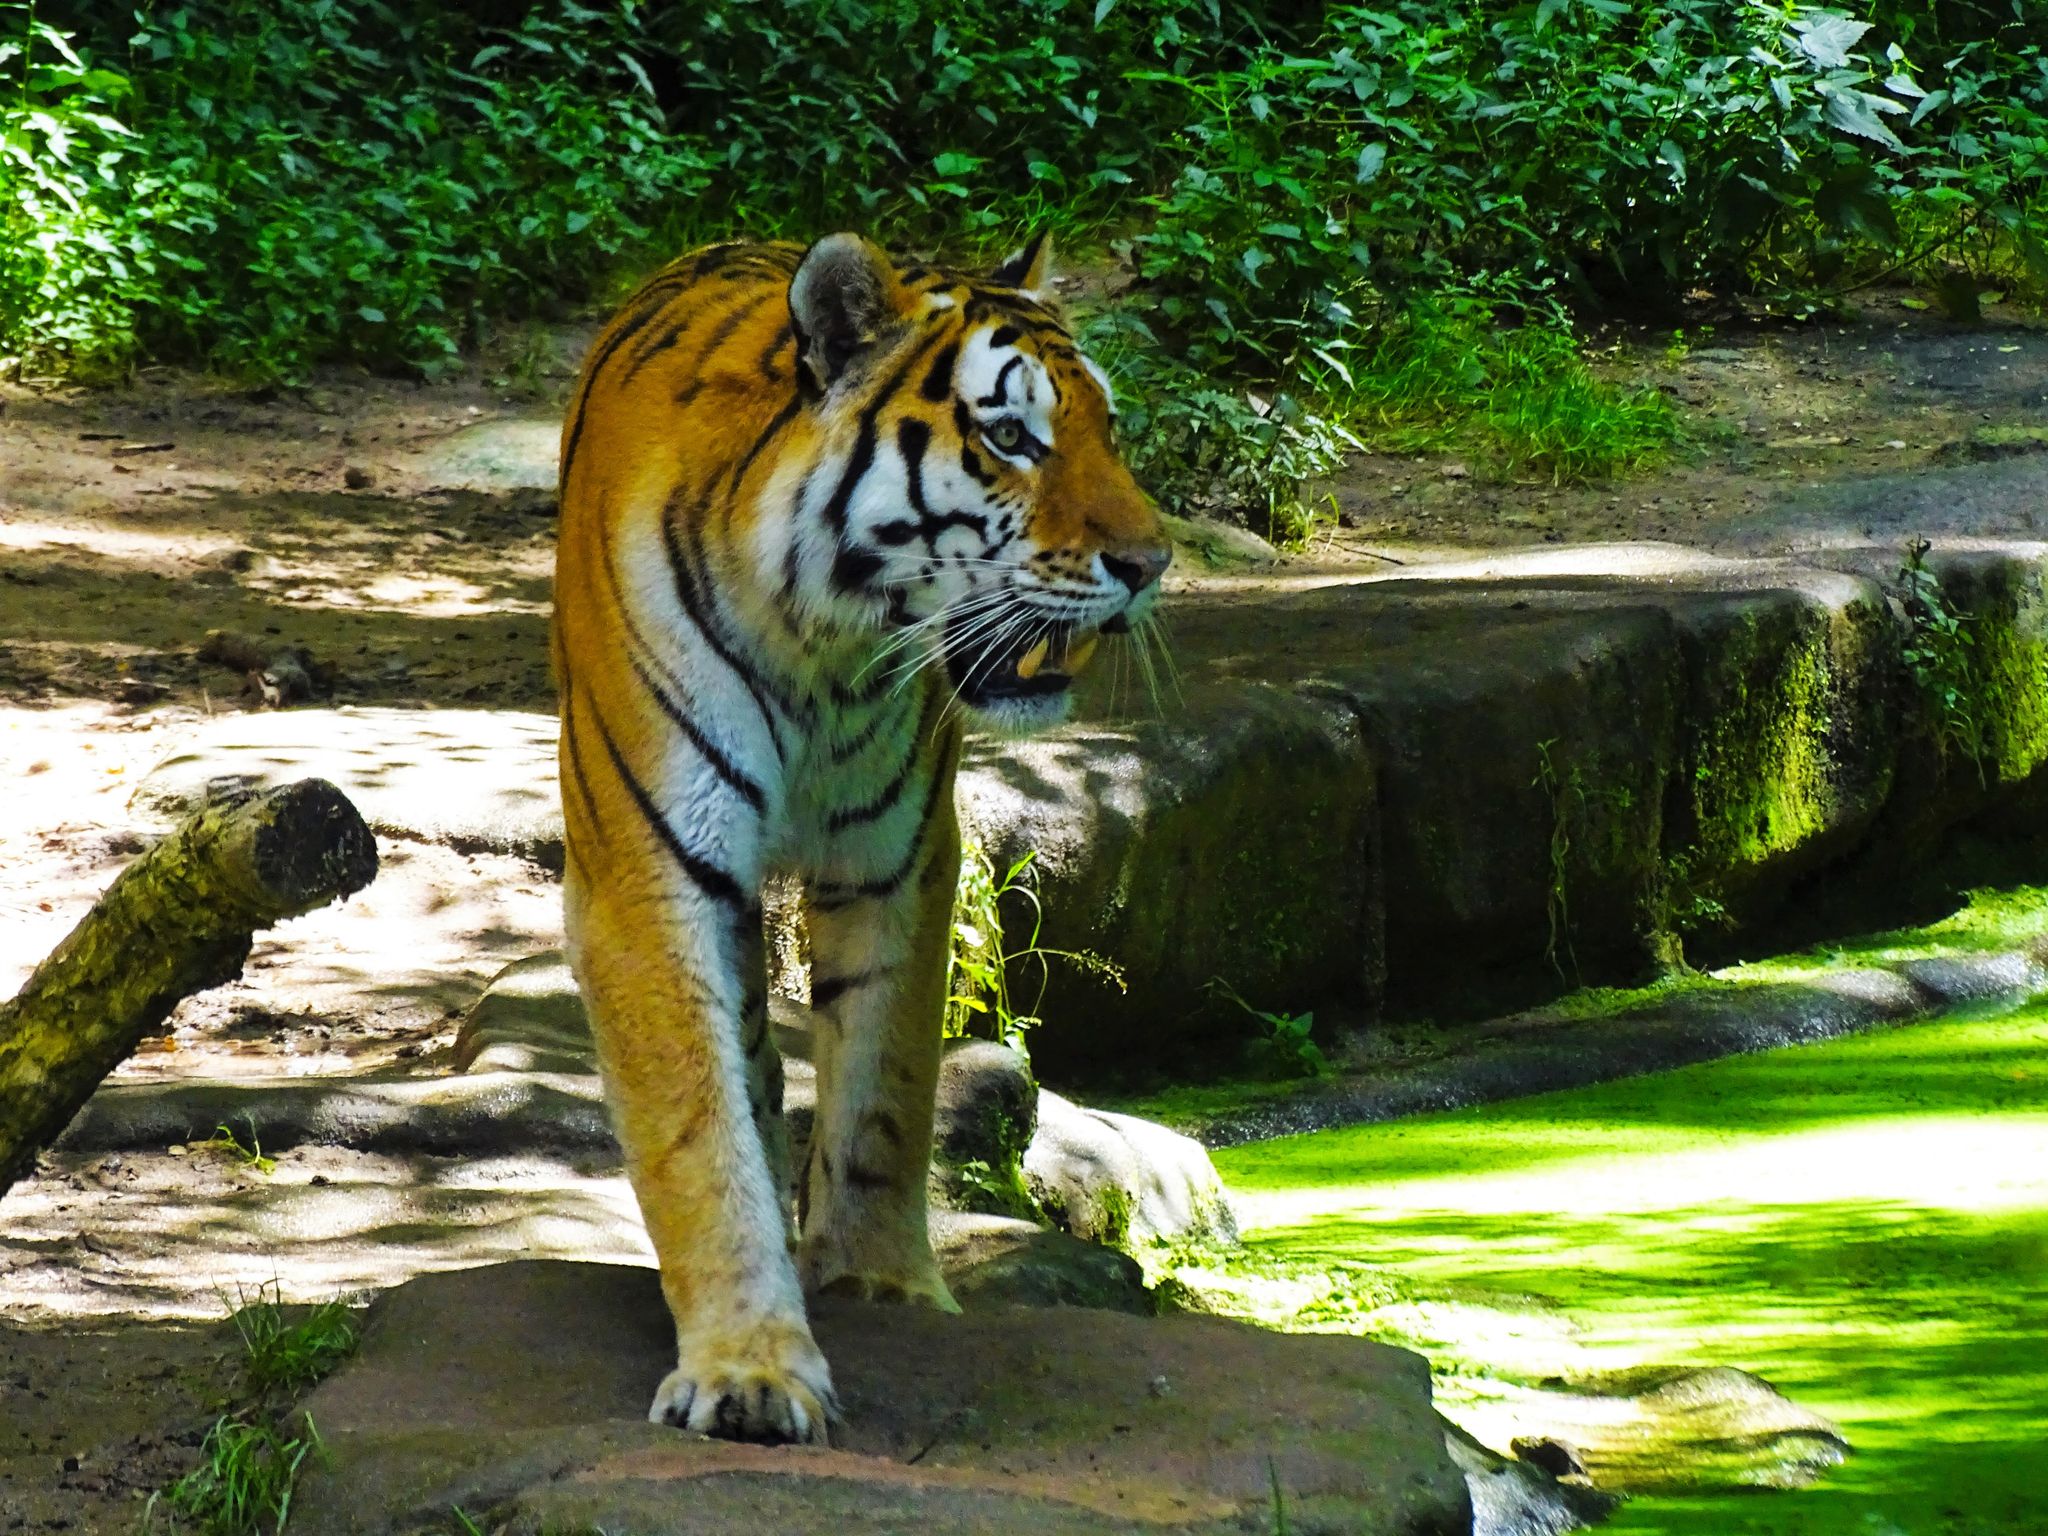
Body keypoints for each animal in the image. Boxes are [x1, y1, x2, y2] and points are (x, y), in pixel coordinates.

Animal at [551, 232, 1169, 1445]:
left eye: (1108, 432)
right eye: (1011, 436)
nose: (1151, 563)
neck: (823, 644)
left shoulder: (901, 859)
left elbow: (886, 1088)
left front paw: (883, 1287)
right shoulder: (649, 868)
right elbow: (698, 1127)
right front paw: (749, 1367)